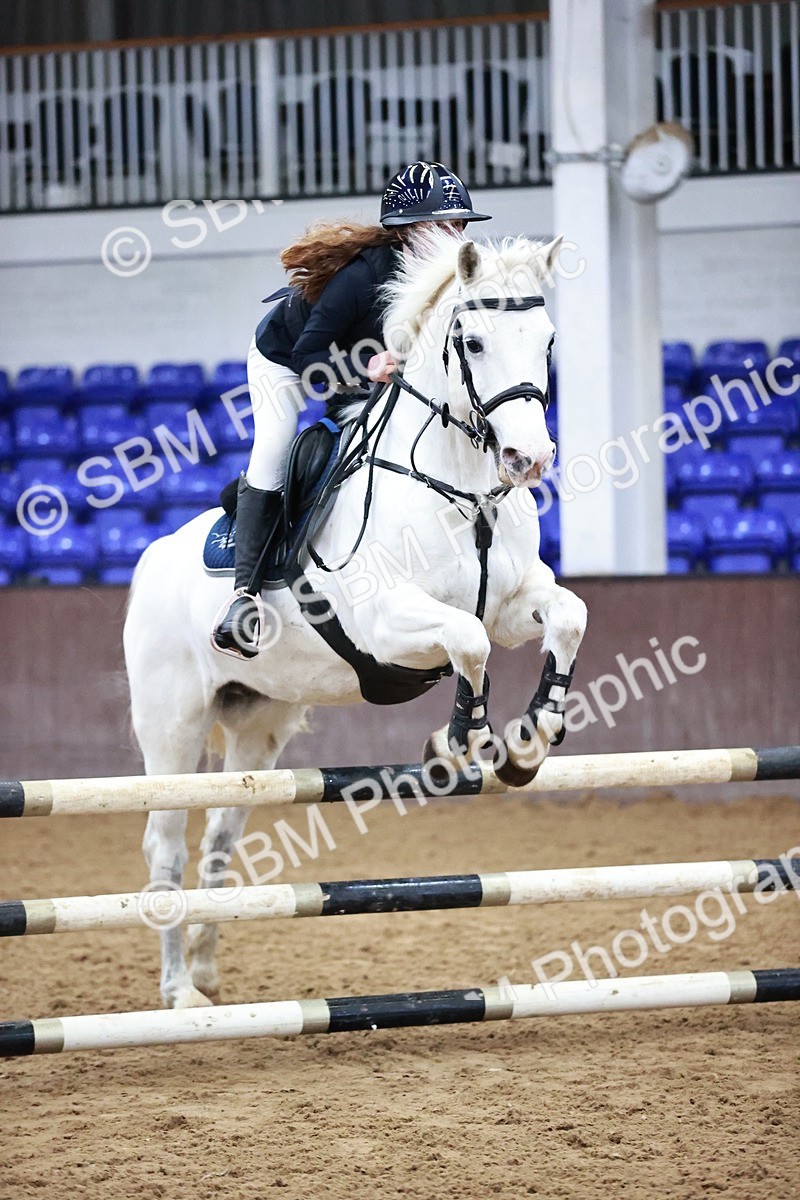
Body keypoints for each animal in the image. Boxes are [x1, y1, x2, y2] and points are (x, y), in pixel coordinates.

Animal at [123, 228, 588, 1009]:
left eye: (551, 338)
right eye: (472, 341)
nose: (529, 458)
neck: (459, 485)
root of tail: (151, 557)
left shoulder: (513, 603)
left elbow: (567, 617)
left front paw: (531, 741)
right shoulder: (386, 624)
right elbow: (467, 643)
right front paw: (461, 742)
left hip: (258, 723)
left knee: (219, 833)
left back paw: (207, 971)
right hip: (172, 724)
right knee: (164, 844)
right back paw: (178, 991)